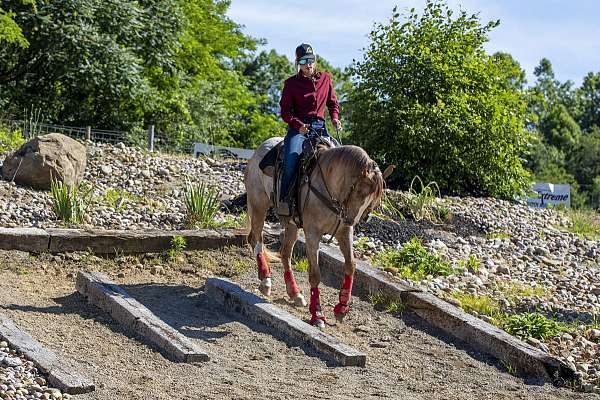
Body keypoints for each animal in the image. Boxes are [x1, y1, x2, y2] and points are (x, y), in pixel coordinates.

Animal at [244, 136, 390, 330]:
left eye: (374, 198)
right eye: (358, 190)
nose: (351, 220)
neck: (329, 187)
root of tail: (260, 149)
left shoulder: (344, 232)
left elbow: (351, 265)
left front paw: (342, 307)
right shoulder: (313, 233)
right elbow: (315, 274)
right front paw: (317, 315)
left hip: (291, 224)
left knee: (285, 253)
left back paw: (295, 294)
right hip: (258, 205)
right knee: (256, 240)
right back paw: (265, 280)